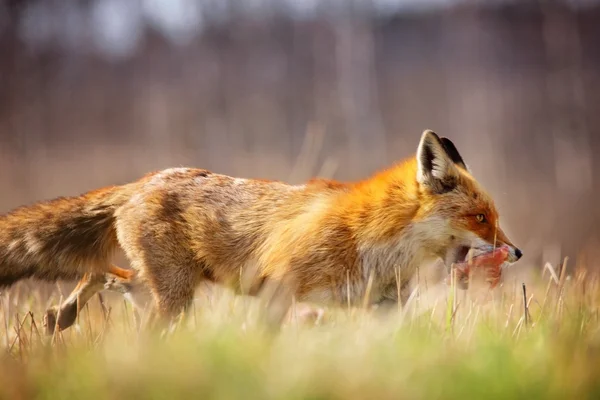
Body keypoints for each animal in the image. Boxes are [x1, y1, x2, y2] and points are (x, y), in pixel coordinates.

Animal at [0, 130, 520, 332]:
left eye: (494, 217)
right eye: (481, 219)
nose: (515, 253)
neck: (377, 245)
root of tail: (144, 180)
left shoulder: (383, 309)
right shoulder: (279, 287)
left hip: (166, 287)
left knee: (104, 273)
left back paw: (60, 315)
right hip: (175, 295)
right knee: (112, 284)